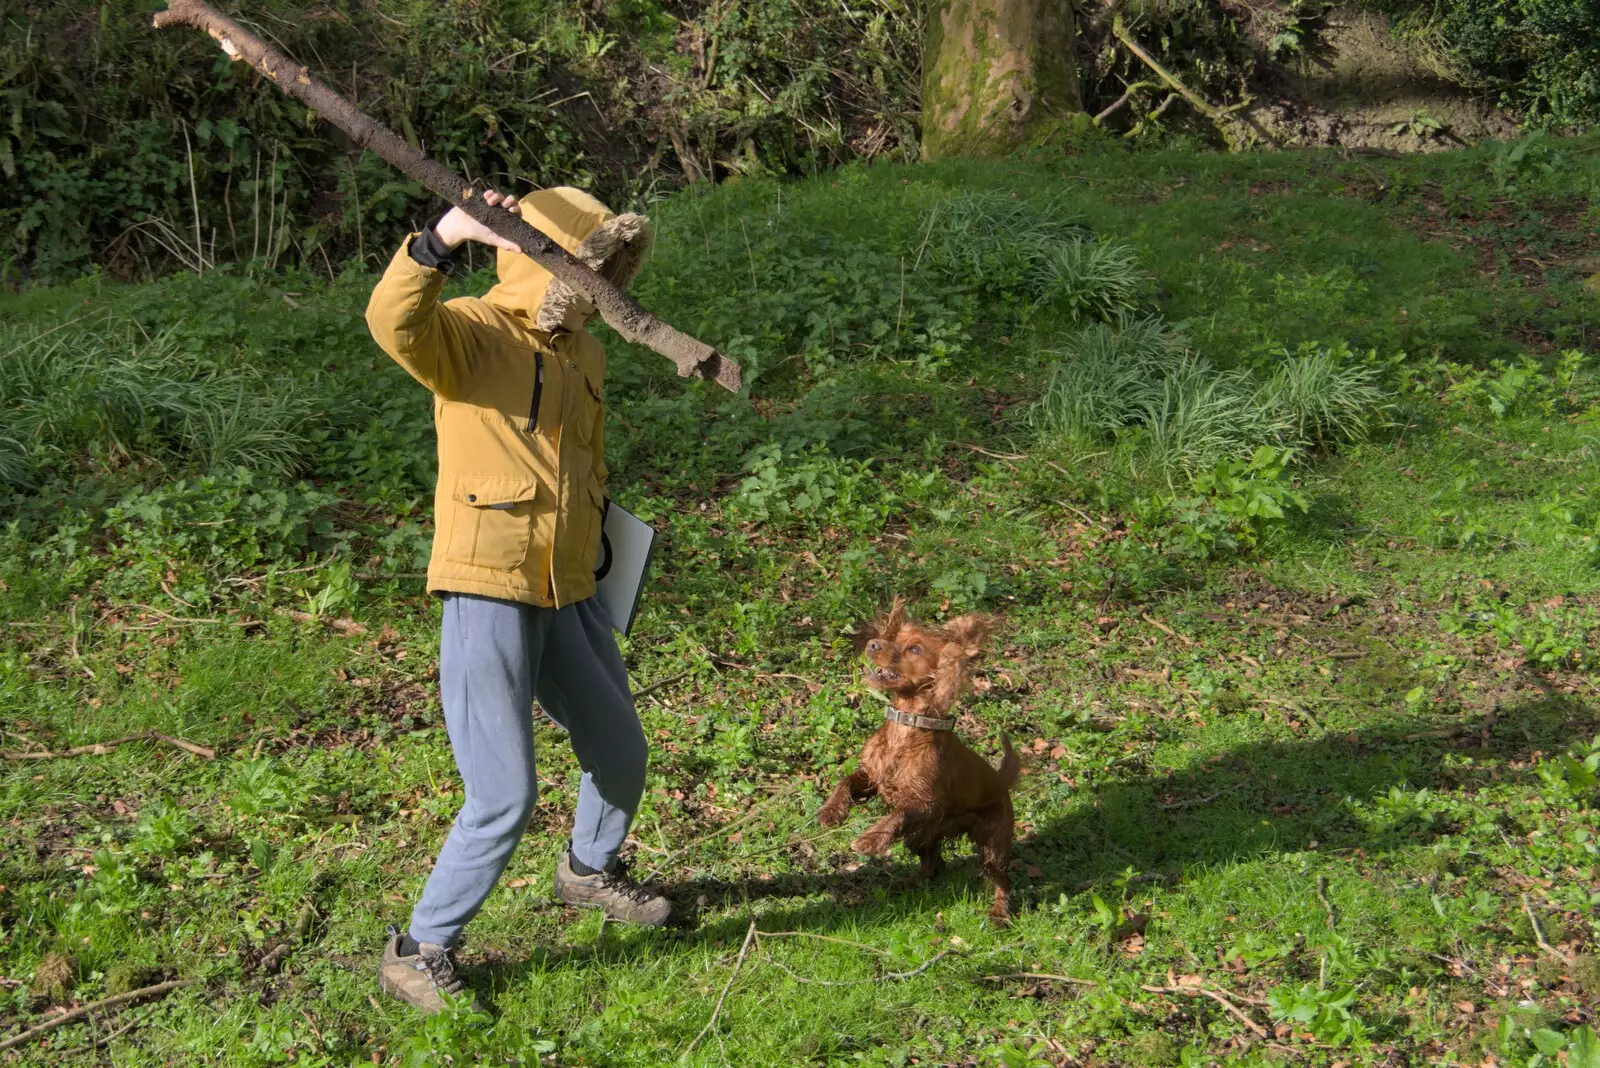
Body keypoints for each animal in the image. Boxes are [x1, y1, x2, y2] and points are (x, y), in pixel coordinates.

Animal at [819, 601, 1017, 927]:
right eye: (894, 638)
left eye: (914, 648)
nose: (873, 644)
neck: (907, 728)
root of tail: (1003, 782)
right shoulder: (872, 777)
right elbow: (845, 781)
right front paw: (831, 811)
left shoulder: (926, 803)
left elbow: (897, 813)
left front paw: (870, 840)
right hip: (923, 835)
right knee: (934, 864)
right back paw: (905, 884)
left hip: (993, 842)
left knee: (1000, 878)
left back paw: (1000, 912)